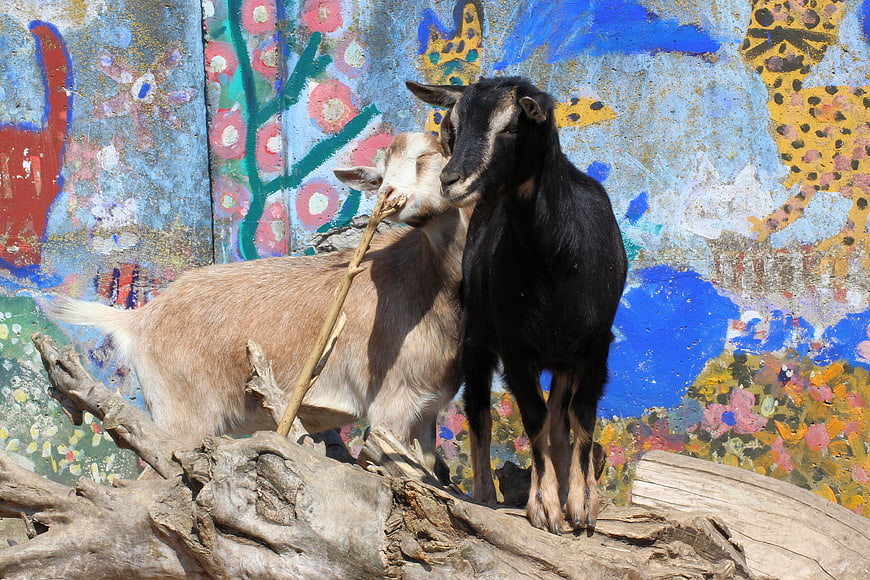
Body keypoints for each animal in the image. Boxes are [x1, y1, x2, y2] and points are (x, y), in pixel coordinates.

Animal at [49, 132, 467, 478]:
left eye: (428, 157)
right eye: (380, 176)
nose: (391, 196)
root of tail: (139, 320)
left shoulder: (427, 410)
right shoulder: (390, 406)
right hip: (182, 418)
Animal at [407, 77, 628, 534]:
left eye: (511, 127)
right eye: (453, 126)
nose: (451, 180)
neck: (555, 260)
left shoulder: (595, 345)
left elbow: (580, 420)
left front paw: (582, 506)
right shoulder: (515, 349)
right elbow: (533, 418)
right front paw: (544, 507)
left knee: (561, 421)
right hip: (475, 337)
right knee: (479, 412)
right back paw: (485, 495)